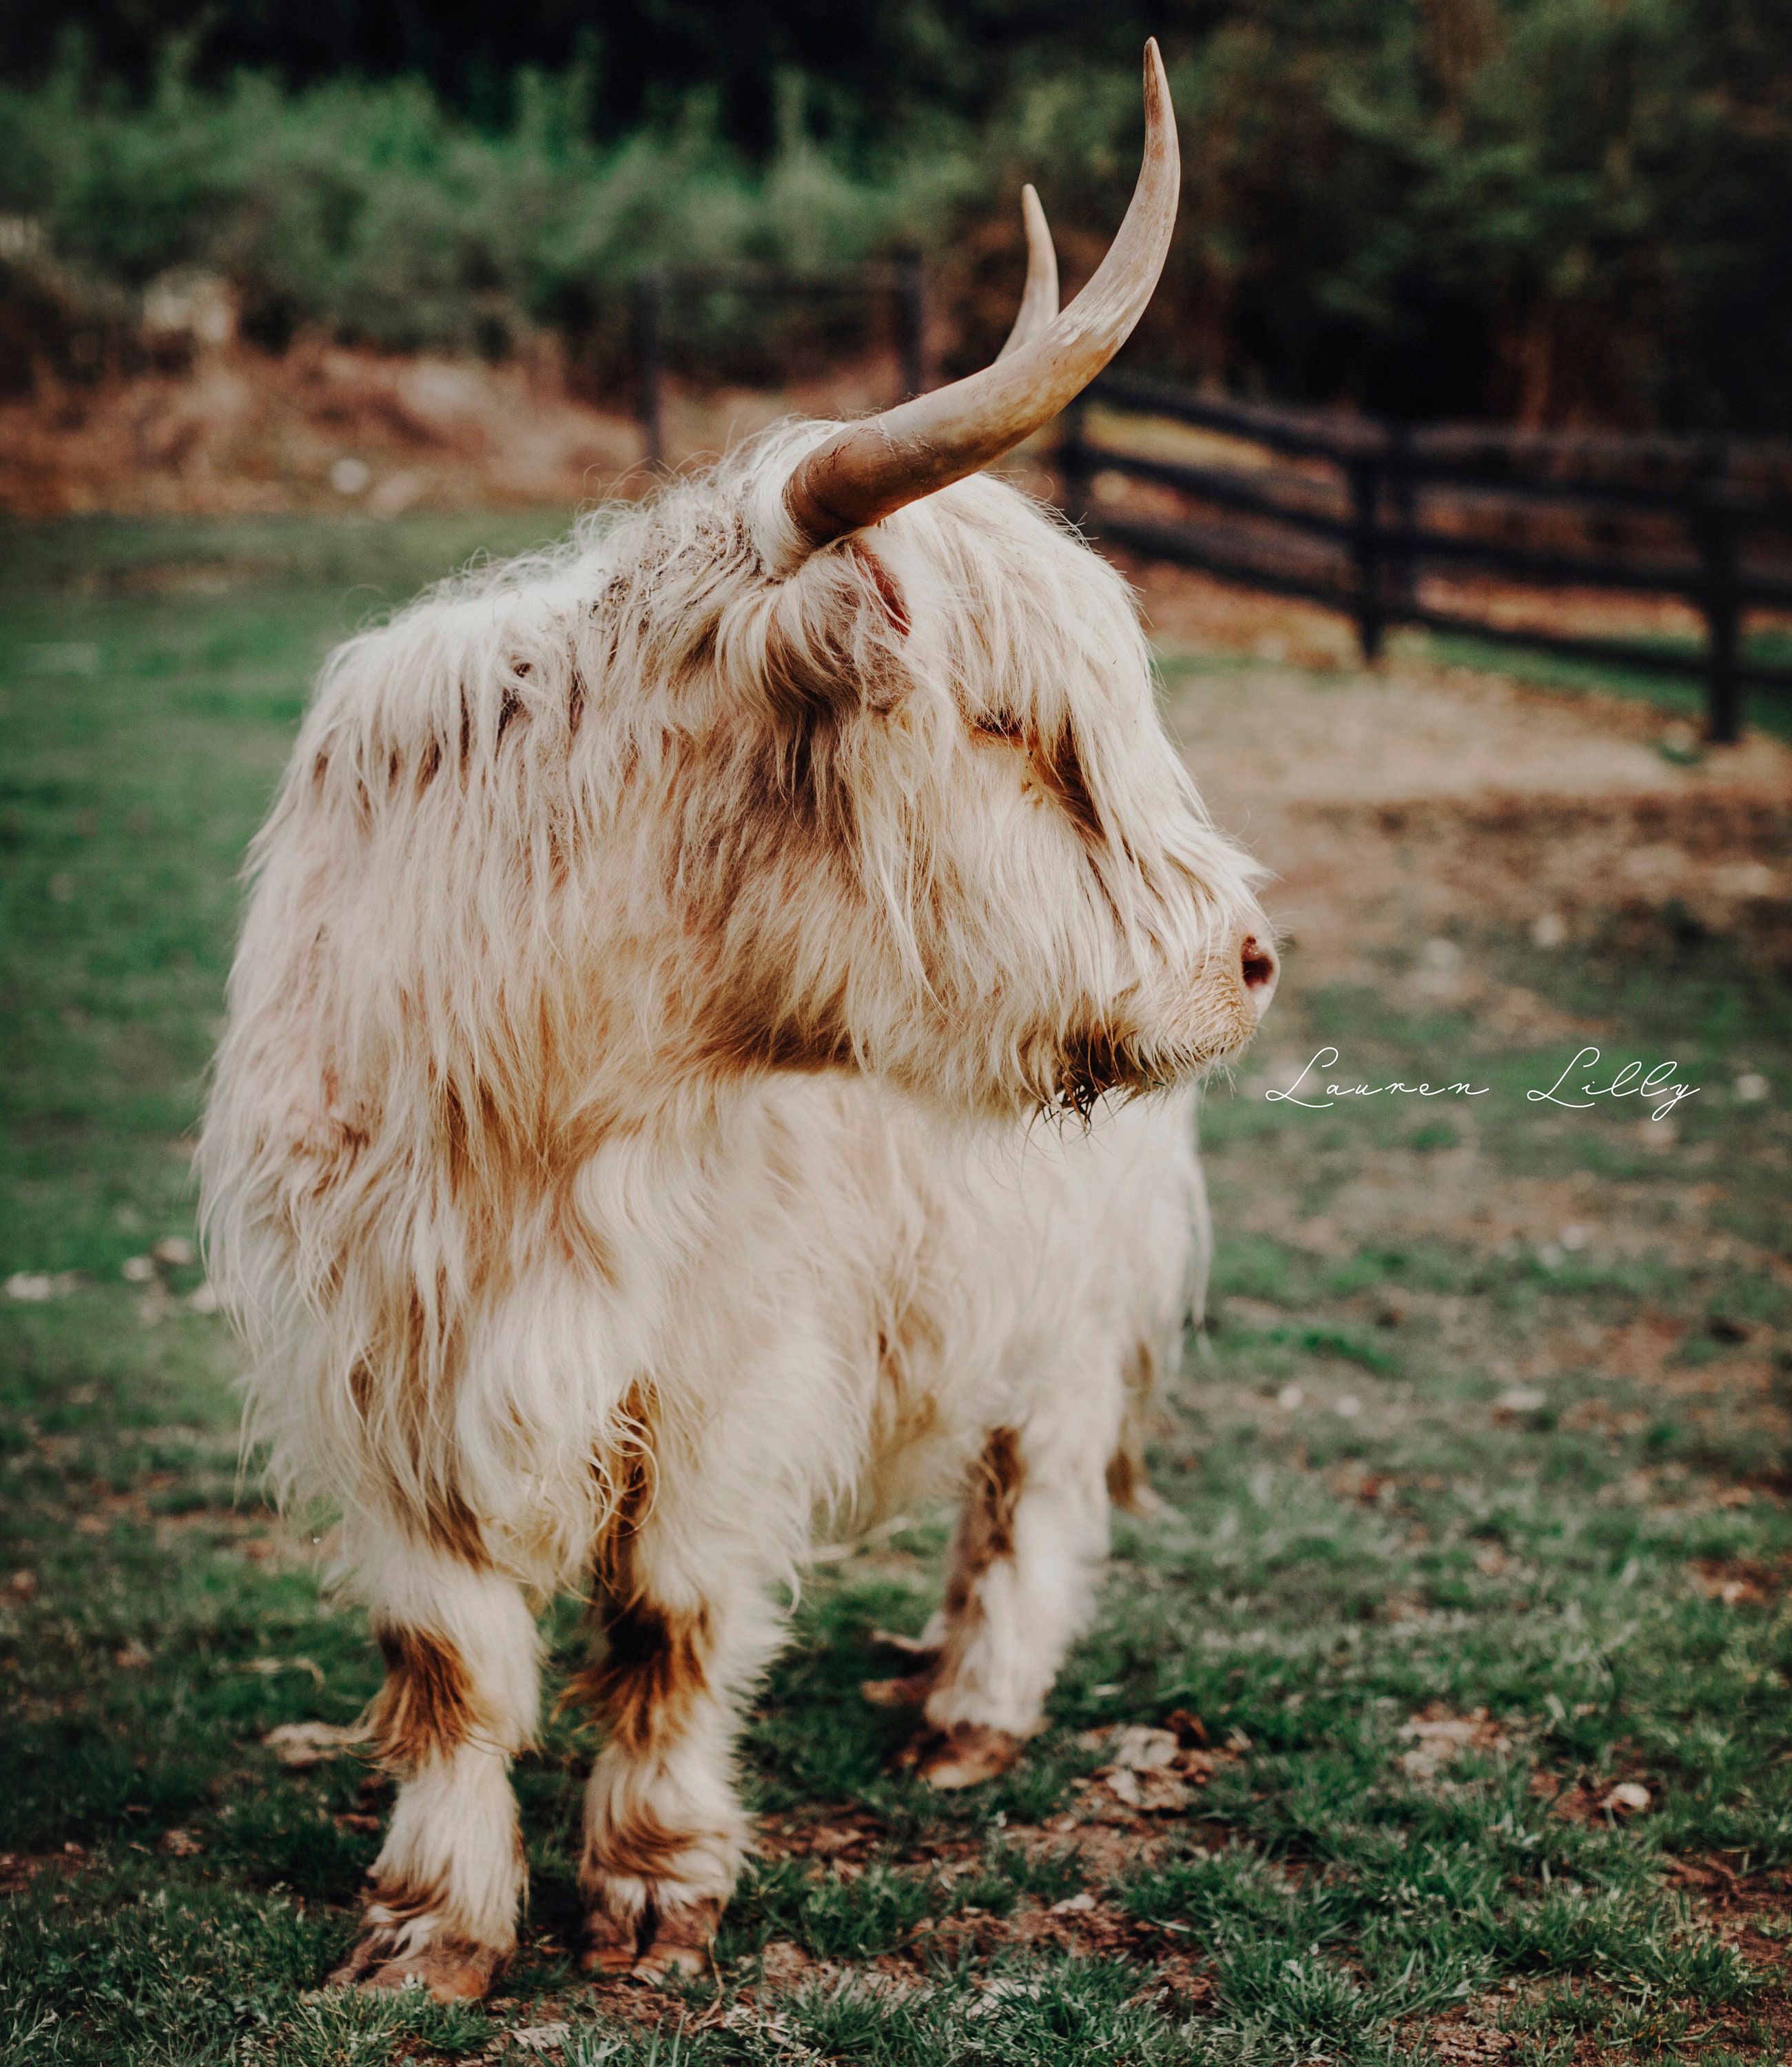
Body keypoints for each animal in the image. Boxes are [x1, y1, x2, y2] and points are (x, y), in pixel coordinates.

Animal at [198, 42, 1277, 2002]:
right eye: (1007, 726)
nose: (1245, 955)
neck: (561, 1104)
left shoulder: (727, 1366)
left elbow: (667, 1618)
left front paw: (651, 1886)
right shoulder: (377, 1366)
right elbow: (449, 1659)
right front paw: (429, 1923)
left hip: (1069, 1287)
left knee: (1031, 1485)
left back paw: (971, 1710)